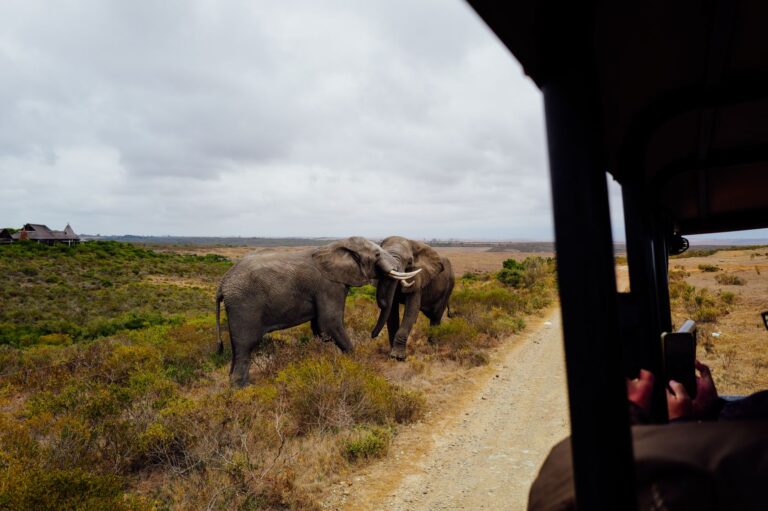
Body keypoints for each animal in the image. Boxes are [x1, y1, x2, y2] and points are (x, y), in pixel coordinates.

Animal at [215, 236, 421, 386]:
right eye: (377, 254)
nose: (372, 335)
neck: (338, 245)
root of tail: (222, 283)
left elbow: (320, 329)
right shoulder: (329, 285)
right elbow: (330, 323)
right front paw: (356, 364)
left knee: (237, 347)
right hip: (244, 305)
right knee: (246, 345)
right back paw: (243, 388)